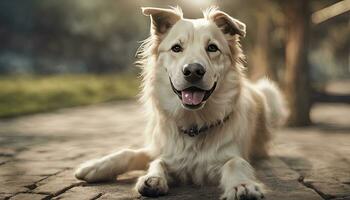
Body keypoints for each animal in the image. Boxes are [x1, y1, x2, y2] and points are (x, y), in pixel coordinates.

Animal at [74, 6, 288, 200]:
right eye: (176, 48)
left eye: (212, 48)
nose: (193, 71)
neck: (194, 126)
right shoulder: (164, 151)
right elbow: (143, 157)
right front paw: (97, 167)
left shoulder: (224, 159)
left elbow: (234, 163)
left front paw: (241, 186)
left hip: (270, 94)